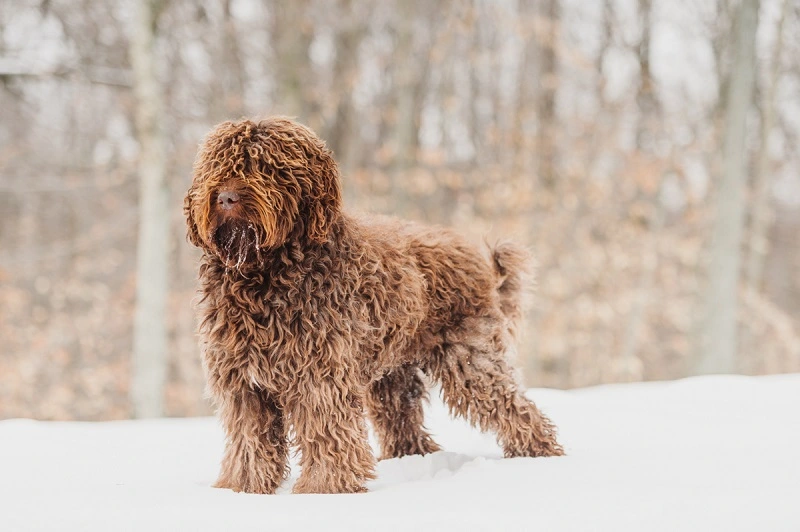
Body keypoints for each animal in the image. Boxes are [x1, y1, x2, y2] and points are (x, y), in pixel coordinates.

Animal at [186, 116, 564, 494]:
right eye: (218, 165)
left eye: (266, 167)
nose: (226, 197)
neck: (264, 274)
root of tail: (476, 259)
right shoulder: (242, 383)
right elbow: (250, 439)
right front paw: (243, 487)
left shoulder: (320, 375)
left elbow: (326, 432)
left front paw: (325, 489)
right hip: (395, 374)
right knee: (404, 424)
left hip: (469, 358)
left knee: (514, 406)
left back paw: (539, 455)